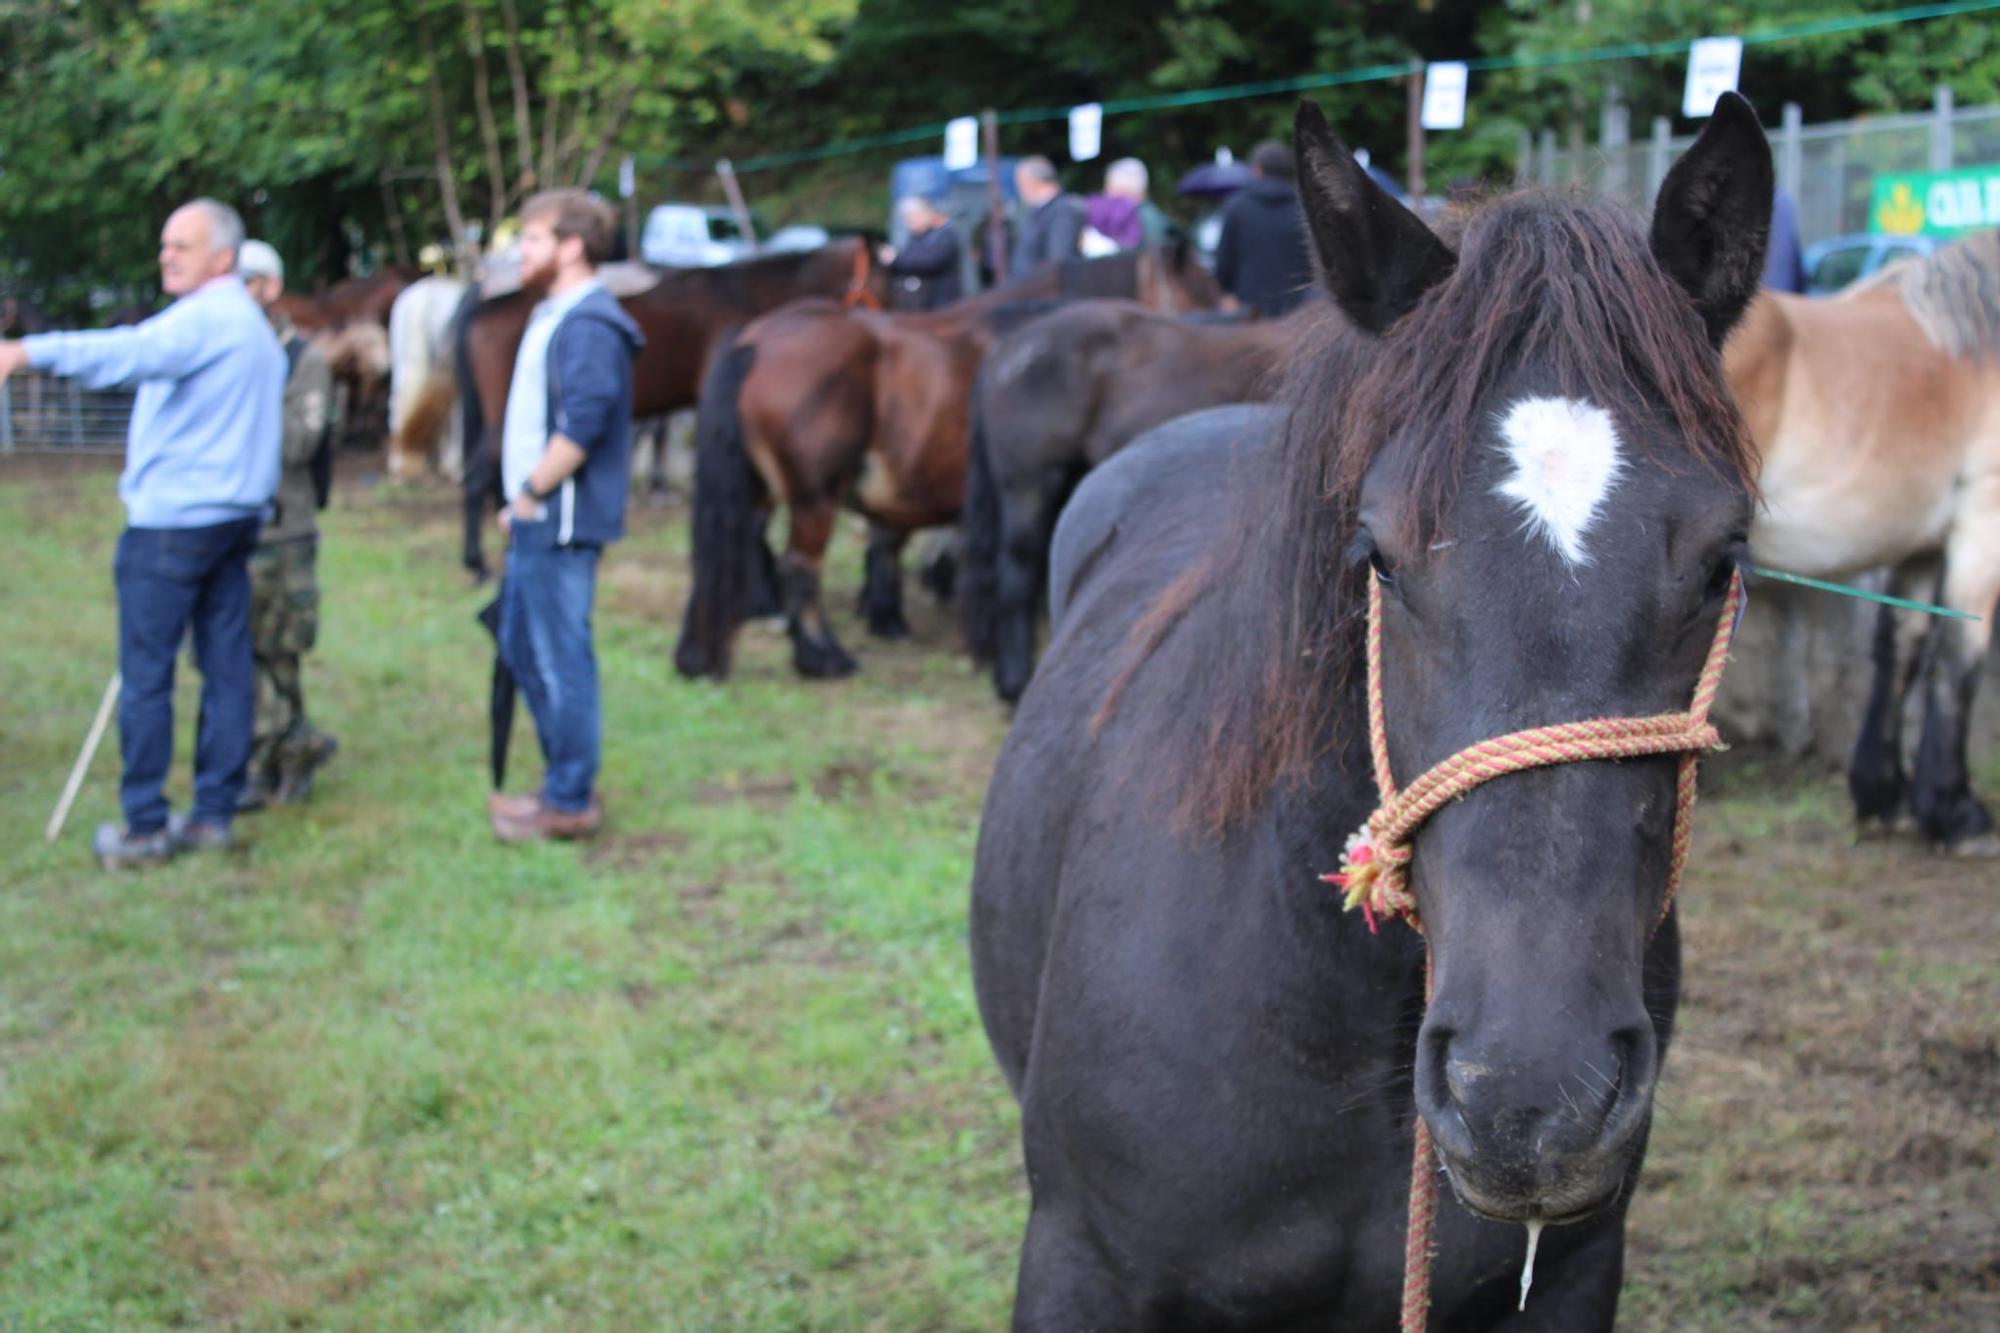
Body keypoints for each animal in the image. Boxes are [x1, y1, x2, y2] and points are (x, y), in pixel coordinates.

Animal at [672, 243, 1216, 676]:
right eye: (1206, 295)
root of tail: (755, 339)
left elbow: (897, 544)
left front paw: (894, 609)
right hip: (814, 496)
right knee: (798, 568)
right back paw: (821, 655)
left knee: (723, 547)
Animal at [1720, 227, 2000, 844]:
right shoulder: (1982, 526)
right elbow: (1959, 661)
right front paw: (1957, 811)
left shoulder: (1920, 548)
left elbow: (1900, 650)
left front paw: (1887, 795)